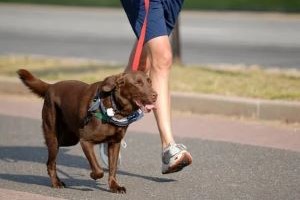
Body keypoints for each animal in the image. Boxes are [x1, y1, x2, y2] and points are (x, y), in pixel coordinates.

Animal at [17, 69, 157, 194]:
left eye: (149, 81)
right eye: (138, 83)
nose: (156, 95)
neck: (114, 107)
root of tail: (51, 86)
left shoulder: (114, 144)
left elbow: (112, 168)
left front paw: (115, 186)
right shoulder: (85, 141)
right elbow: (99, 169)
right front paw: (93, 175)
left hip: (69, 139)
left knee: (51, 158)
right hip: (55, 136)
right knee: (50, 162)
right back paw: (56, 183)